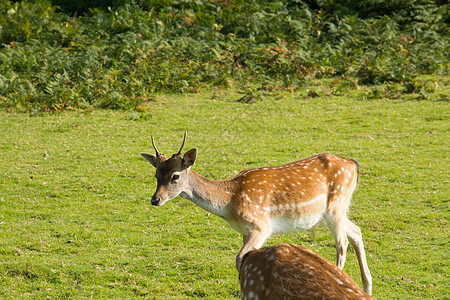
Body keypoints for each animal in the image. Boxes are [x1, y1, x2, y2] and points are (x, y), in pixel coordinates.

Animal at [141, 132, 372, 294]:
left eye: (175, 176)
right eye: (156, 174)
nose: (155, 200)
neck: (230, 203)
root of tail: (353, 165)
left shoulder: (261, 225)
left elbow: (239, 259)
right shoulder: (245, 230)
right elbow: (243, 259)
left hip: (336, 206)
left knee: (342, 243)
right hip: (331, 212)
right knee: (356, 231)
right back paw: (367, 286)